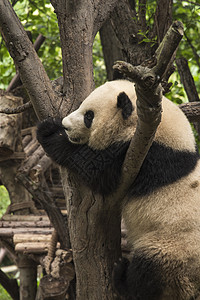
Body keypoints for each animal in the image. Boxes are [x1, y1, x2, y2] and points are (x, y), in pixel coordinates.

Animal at [36, 78, 200, 298]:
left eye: (89, 116)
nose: (66, 126)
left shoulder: (143, 155)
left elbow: (97, 171)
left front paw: (50, 132)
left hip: (173, 249)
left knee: (148, 270)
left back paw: (122, 278)